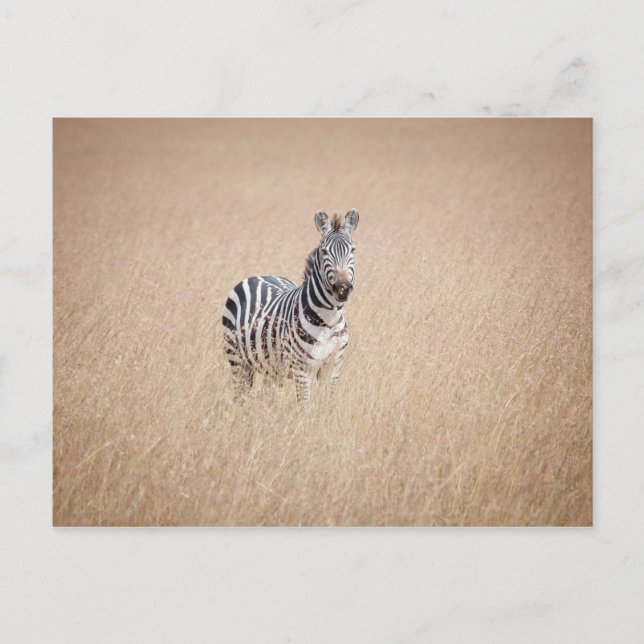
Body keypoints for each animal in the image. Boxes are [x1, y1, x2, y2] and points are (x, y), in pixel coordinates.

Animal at [221, 209, 359, 402]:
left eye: (352, 250)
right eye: (324, 251)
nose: (343, 288)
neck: (328, 321)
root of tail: (258, 276)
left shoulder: (332, 368)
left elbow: (327, 405)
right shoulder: (301, 370)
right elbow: (305, 406)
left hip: (271, 368)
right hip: (237, 360)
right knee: (240, 396)